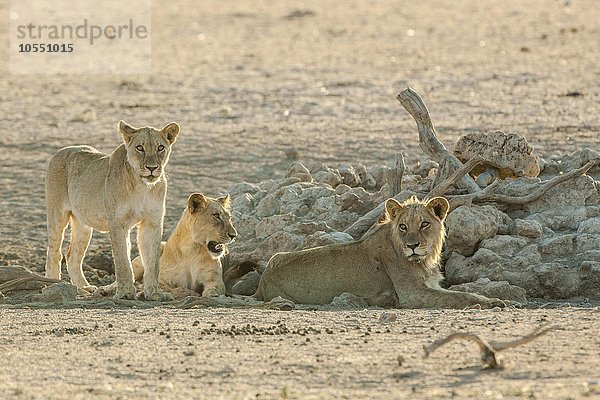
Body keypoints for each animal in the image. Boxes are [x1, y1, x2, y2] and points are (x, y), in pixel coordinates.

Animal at [255, 195, 512, 308]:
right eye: (403, 226)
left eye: (424, 224)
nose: (412, 245)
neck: (424, 259)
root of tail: (264, 278)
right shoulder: (412, 294)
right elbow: (460, 296)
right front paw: (496, 301)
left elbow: (463, 290)